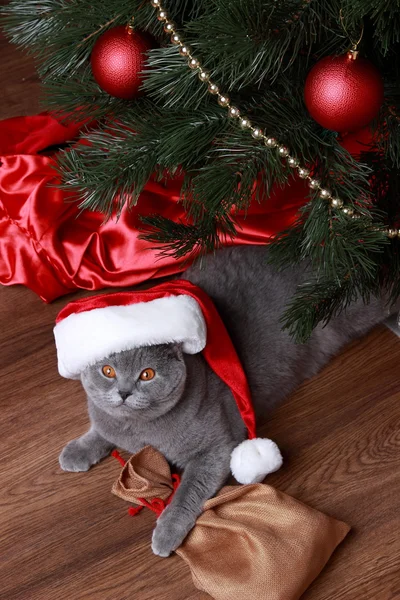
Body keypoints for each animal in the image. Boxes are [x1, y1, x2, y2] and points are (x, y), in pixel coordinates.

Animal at [58, 246, 388, 556]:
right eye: (108, 371)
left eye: (147, 374)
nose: (124, 392)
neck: (140, 430)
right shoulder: (109, 420)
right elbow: (101, 430)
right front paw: (76, 451)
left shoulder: (216, 448)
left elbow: (188, 490)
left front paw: (166, 532)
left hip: (351, 305)